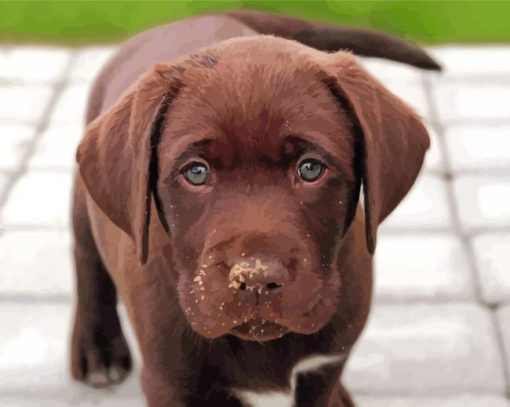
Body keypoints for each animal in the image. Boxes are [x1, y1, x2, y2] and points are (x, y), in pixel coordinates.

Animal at [70, 9, 438, 407]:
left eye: (311, 168)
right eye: (196, 172)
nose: (256, 277)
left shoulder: (324, 367)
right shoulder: (170, 381)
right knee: (86, 257)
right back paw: (98, 346)